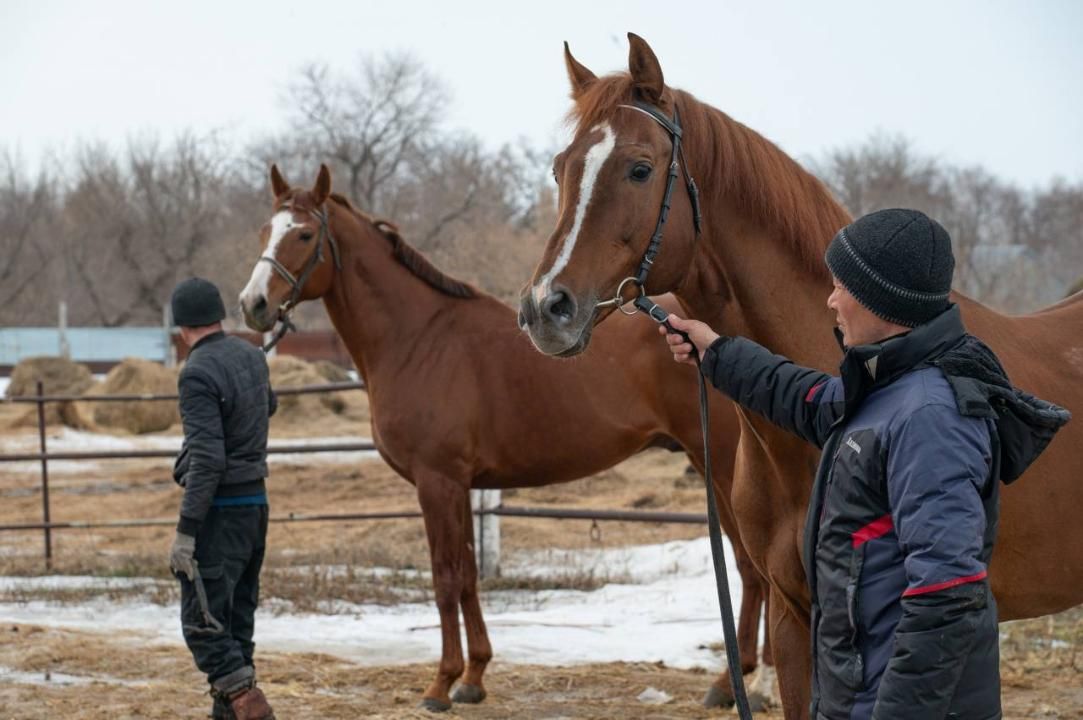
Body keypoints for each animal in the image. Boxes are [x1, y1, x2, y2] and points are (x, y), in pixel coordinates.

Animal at [240, 165, 775, 710]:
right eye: (264, 232)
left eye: (305, 235)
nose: (254, 304)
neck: (419, 339)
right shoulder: (459, 486)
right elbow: (468, 577)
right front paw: (473, 677)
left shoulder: (436, 482)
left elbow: (445, 578)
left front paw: (440, 685)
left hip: (722, 464)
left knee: (754, 566)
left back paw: (748, 682)